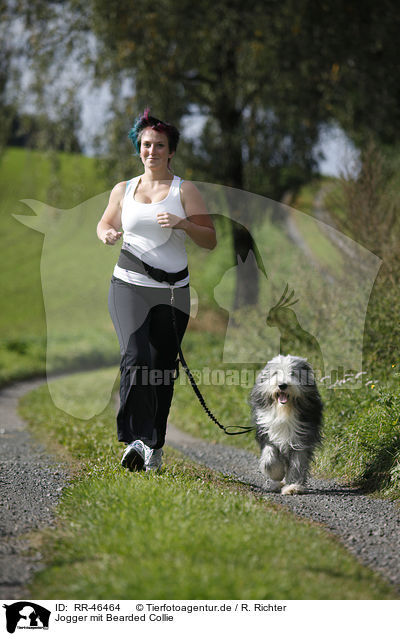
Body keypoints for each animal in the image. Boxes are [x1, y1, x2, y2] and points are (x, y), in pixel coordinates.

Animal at [252, 356, 324, 494]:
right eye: (275, 373)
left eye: (293, 373)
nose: (282, 385)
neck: (284, 411)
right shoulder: (267, 432)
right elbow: (269, 458)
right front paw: (277, 475)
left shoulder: (300, 439)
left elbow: (297, 463)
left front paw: (292, 486)